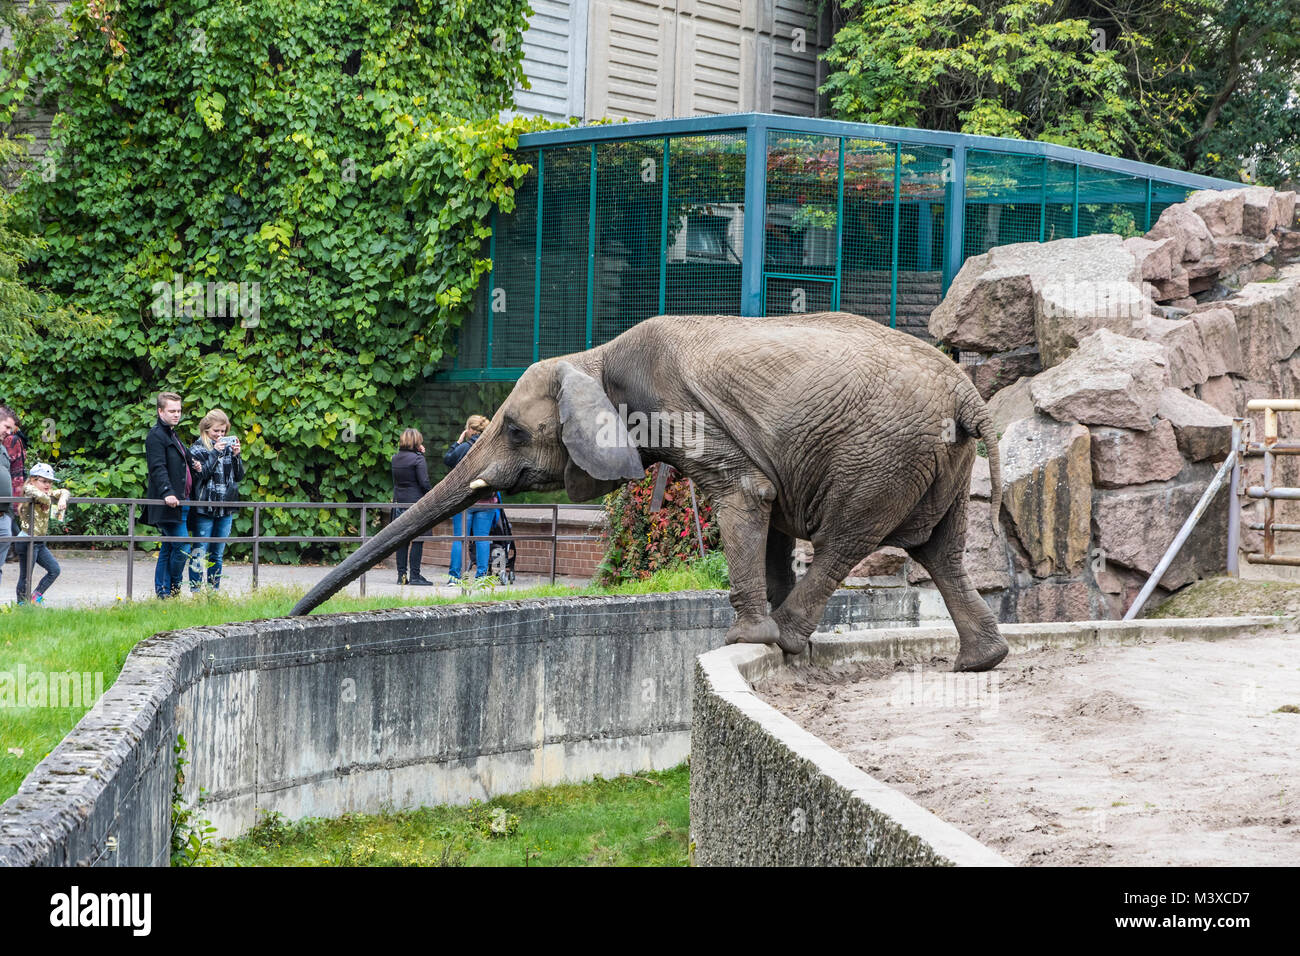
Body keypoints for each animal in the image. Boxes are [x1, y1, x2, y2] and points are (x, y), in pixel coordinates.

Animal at [290, 311, 1008, 672]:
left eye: (516, 431)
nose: (293, 619)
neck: (595, 354)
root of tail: (968, 392)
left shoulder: (681, 411)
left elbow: (748, 495)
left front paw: (748, 640)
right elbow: (768, 516)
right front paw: (763, 641)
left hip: (882, 455)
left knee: (847, 540)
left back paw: (790, 636)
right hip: (938, 460)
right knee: (940, 551)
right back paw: (979, 662)